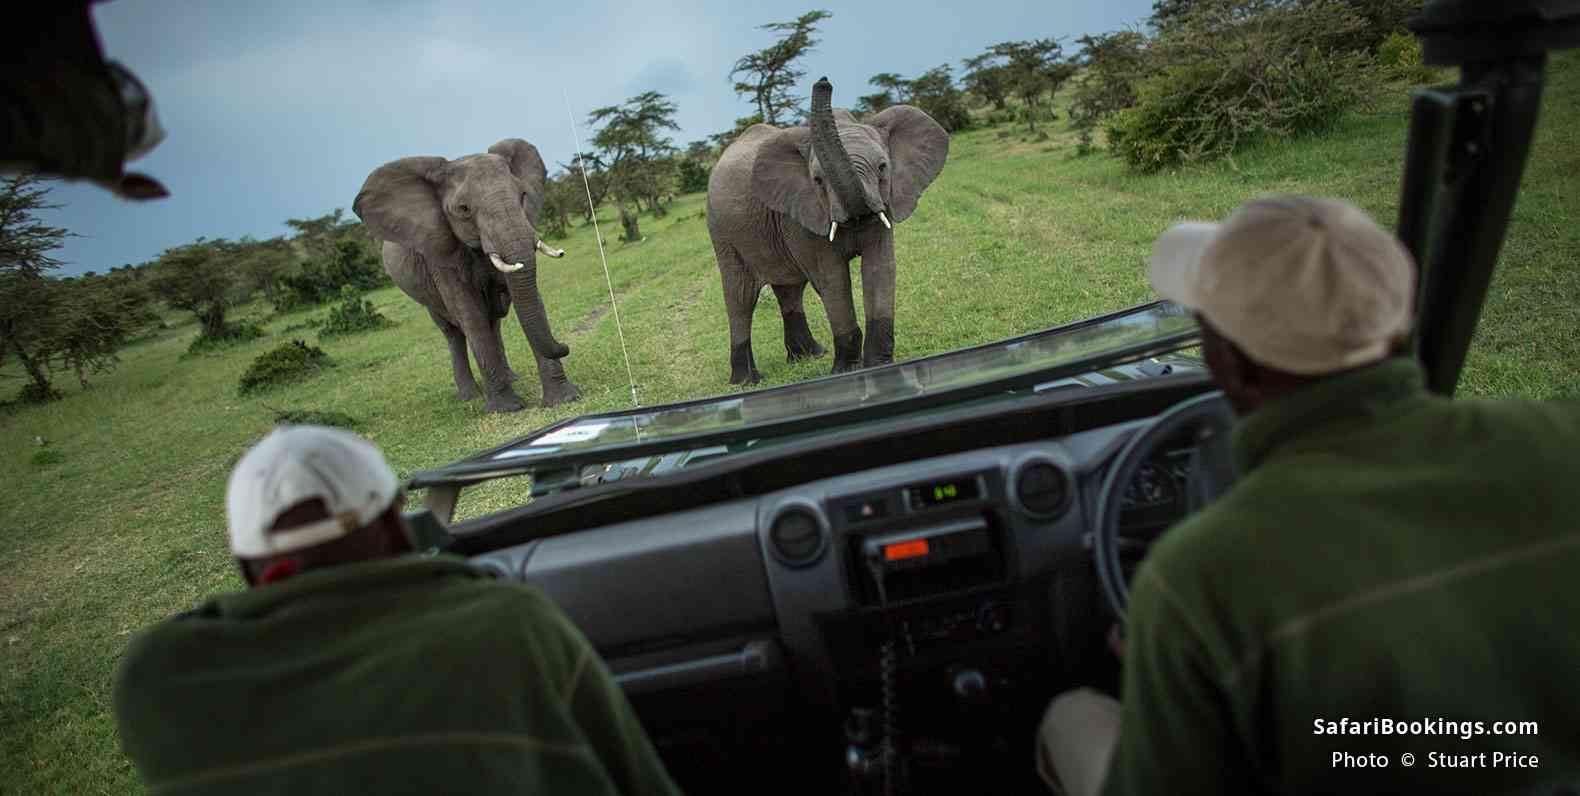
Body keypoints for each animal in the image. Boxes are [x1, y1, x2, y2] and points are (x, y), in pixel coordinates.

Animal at [353, 138, 579, 412]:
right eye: (463, 209)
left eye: (523, 196)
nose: (565, 346)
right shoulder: (440, 257)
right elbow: (470, 314)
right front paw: (505, 409)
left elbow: (527, 297)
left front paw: (564, 398)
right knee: (453, 332)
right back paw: (469, 395)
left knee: (493, 321)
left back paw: (510, 377)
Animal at [706, 77, 948, 385]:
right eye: (818, 180)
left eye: (883, 168)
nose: (823, 81)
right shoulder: (801, 215)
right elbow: (832, 279)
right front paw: (847, 371)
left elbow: (879, 268)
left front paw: (880, 365)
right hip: (722, 234)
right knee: (741, 297)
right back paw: (747, 381)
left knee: (790, 289)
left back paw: (808, 356)